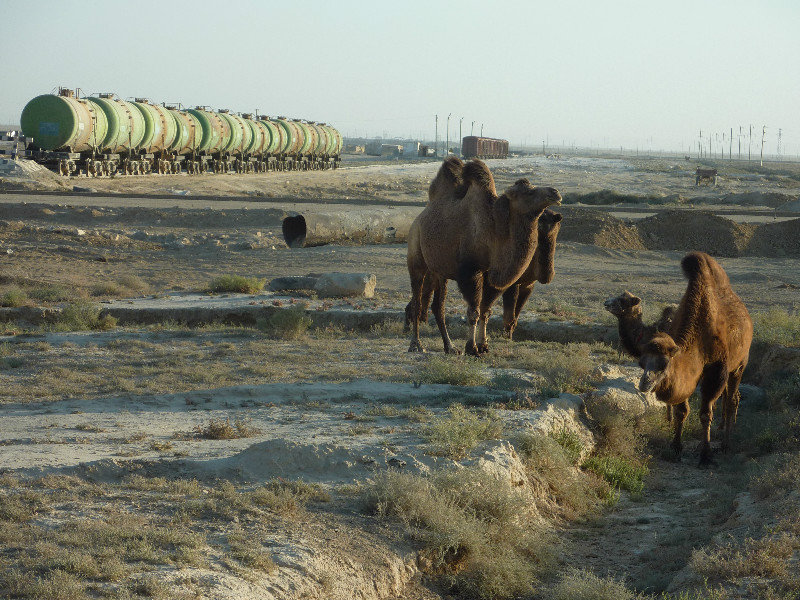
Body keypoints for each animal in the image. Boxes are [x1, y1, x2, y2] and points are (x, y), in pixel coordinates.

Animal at [406, 158, 564, 356]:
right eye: (529, 192)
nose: (555, 192)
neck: (493, 234)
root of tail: (419, 218)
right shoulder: (470, 271)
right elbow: (473, 311)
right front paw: (472, 347)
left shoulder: (490, 275)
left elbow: (486, 310)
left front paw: (483, 345)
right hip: (416, 255)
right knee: (417, 301)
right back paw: (416, 344)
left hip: (439, 270)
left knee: (438, 306)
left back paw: (450, 347)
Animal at [636, 251, 752, 466]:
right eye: (641, 362)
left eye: (664, 364)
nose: (644, 383)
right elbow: (681, 411)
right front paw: (676, 447)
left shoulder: (716, 369)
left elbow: (706, 413)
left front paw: (706, 454)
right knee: (730, 397)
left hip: (740, 363)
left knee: (732, 398)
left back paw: (726, 443)